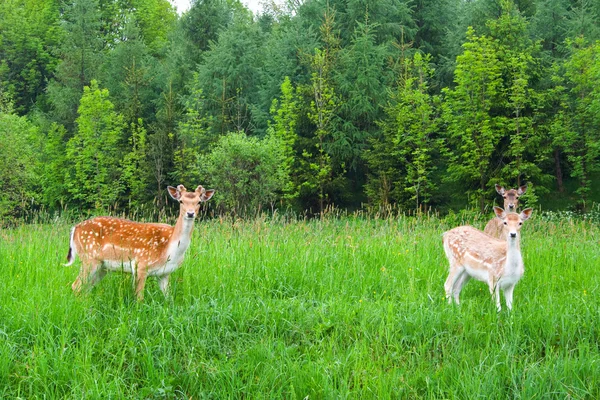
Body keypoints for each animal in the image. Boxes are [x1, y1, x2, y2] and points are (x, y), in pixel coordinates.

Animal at [64, 184, 214, 300]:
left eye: (199, 202)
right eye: (181, 201)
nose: (190, 213)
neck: (170, 249)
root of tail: (74, 229)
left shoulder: (164, 273)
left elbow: (168, 299)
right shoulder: (140, 264)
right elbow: (139, 298)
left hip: (102, 267)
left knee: (86, 288)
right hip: (89, 258)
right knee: (76, 286)